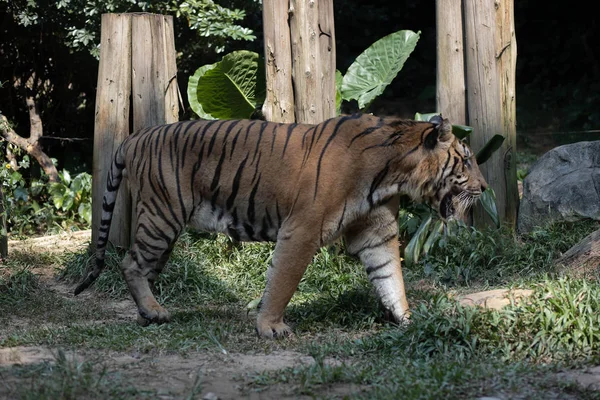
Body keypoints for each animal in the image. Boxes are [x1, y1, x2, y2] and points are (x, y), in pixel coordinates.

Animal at [75, 111, 488, 338]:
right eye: (467, 160)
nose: (484, 188)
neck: (394, 173)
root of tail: (135, 135)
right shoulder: (302, 230)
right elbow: (283, 282)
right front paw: (271, 327)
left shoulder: (377, 233)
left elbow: (391, 278)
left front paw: (408, 319)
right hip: (161, 217)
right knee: (130, 263)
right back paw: (154, 311)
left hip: (164, 228)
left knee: (143, 268)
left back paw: (149, 312)